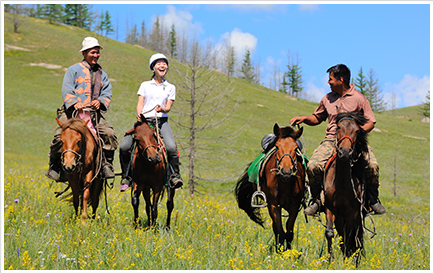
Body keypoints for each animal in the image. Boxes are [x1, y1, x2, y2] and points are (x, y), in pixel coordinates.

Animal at [236, 123, 306, 252]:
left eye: (295, 148)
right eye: (277, 147)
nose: (286, 171)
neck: (284, 182)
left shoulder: (294, 206)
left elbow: (289, 232)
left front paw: (288, 251)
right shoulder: (274, 205)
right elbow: (279, 231)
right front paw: (280, 251)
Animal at [322, 110, 370, 266]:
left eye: (357, 131)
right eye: (338, 127)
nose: (345, 152)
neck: (342, 183)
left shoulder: (352, 213)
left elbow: (350, 236)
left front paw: (347, 261)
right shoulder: (330, 209)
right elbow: (330, 233)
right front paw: (330, 260)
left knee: (355, 237)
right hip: (339, 218)